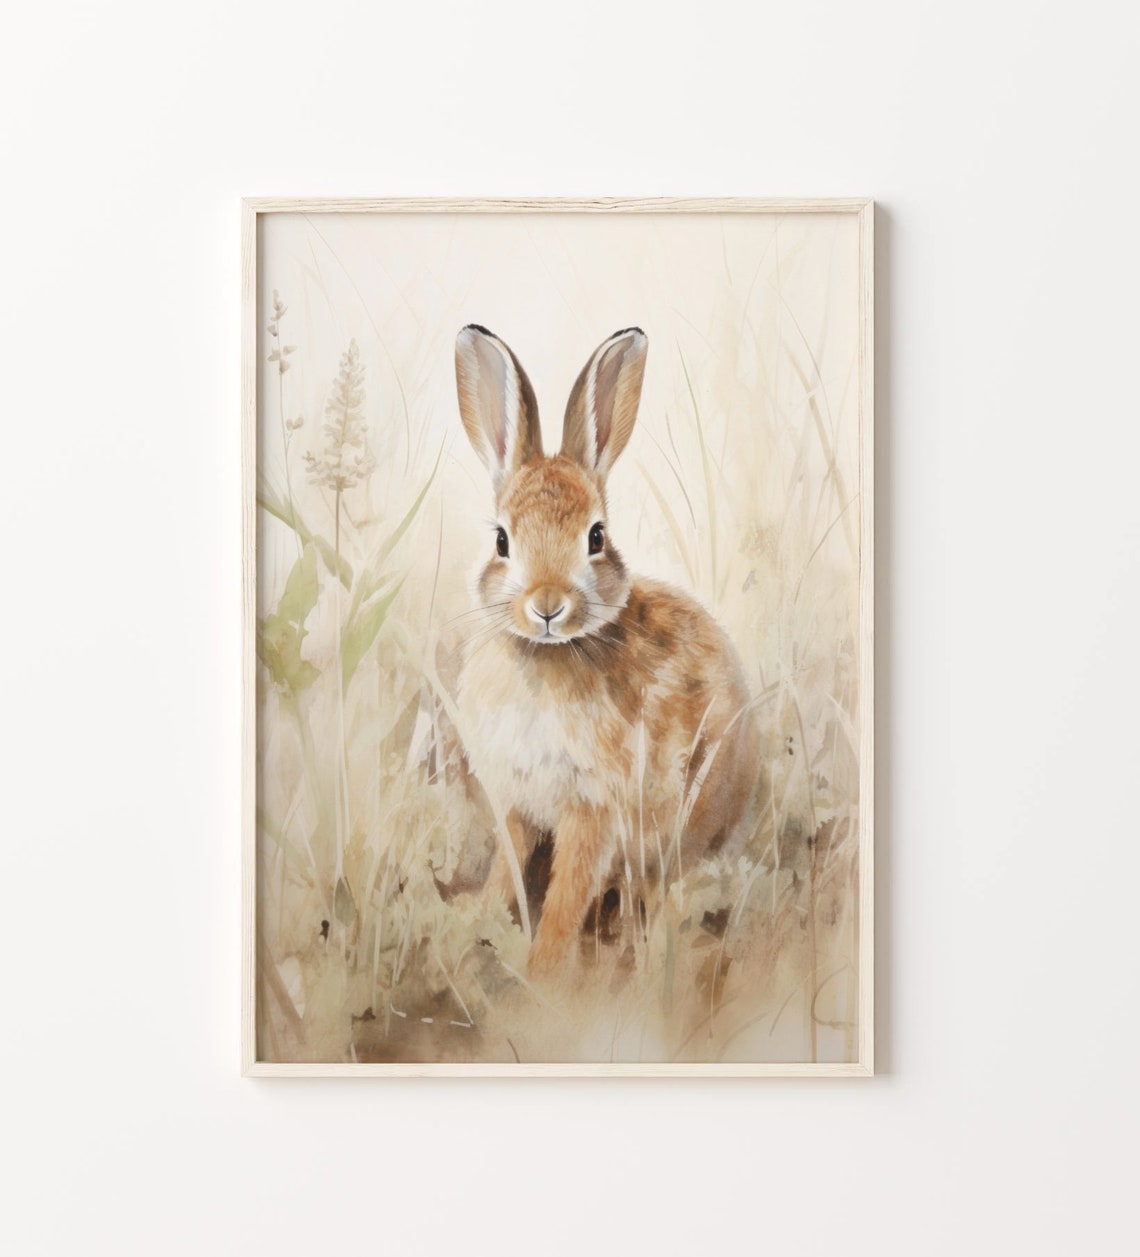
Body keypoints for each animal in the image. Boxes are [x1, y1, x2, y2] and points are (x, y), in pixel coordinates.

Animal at [453, 324, 761, 979]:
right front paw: (471, 919)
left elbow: (567, 892)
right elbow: (506, 868)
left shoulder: (592, 808)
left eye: (596, 537)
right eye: (502, 541)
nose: (547, 606)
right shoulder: (516, 802)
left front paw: (544, 972)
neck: (545, 656)